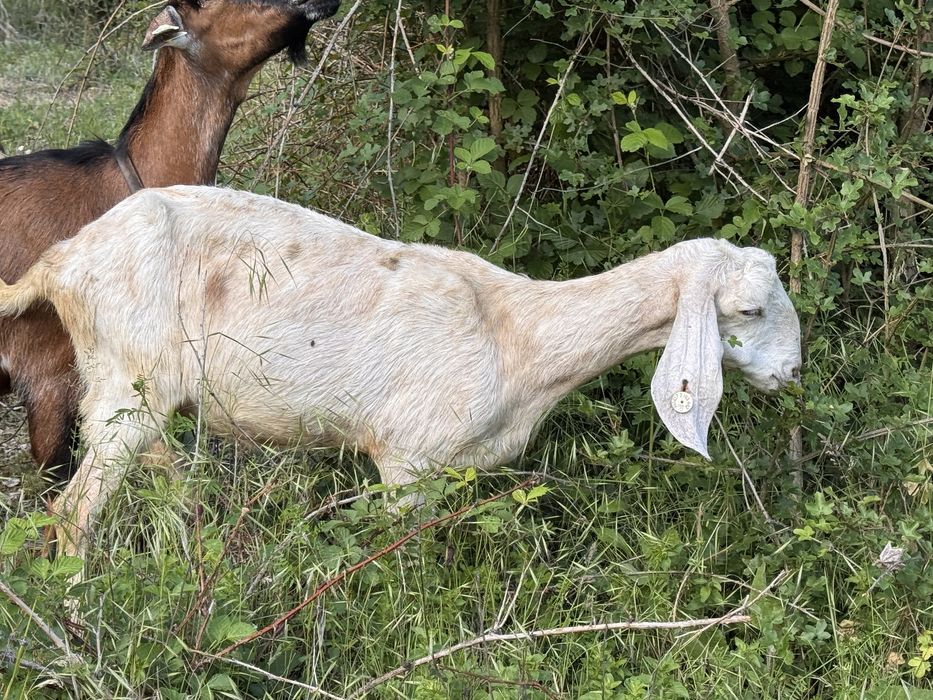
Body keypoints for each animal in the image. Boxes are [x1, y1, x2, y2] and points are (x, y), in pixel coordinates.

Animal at [0, 186, 802, 556]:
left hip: (140, 391)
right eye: (751, 309)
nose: (792, 375)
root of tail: (61, 260)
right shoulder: (408, 462)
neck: (519, 335)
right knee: (73, 514)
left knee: (167, 485)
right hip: (121, 388)